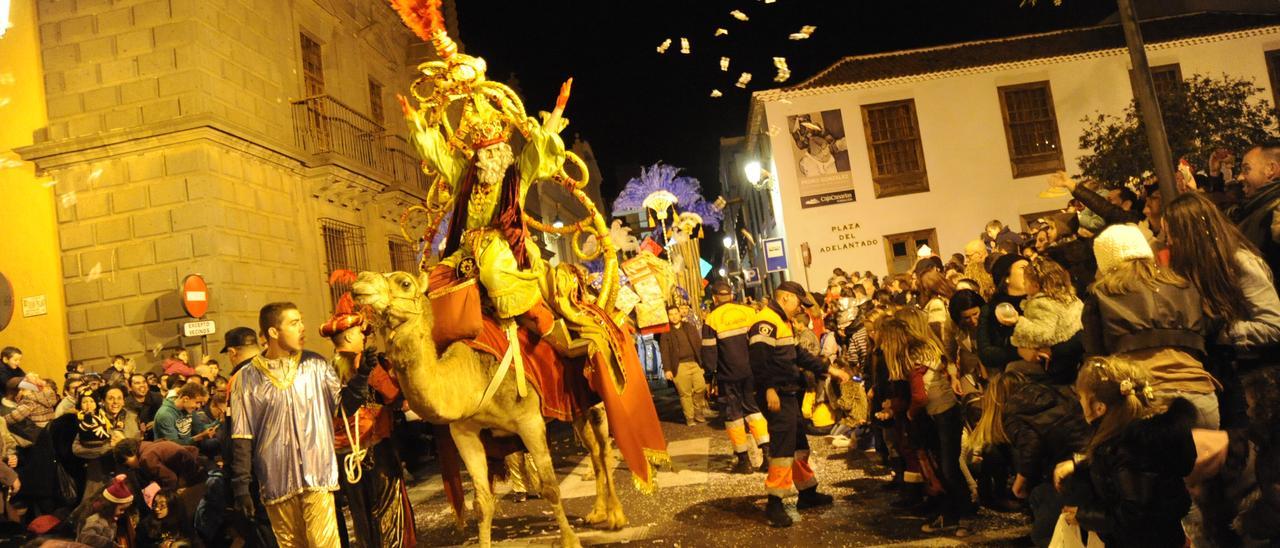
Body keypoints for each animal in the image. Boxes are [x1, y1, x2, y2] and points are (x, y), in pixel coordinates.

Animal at [353, 270, 627, 548]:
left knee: (604, 449)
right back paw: (597, 513)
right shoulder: (464, 431)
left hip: (598, 397)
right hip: (576, 407)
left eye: (405, 283)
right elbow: (482, 502)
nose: (360, 282)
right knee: (593, 449)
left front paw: (570, 540)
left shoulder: (530, 420)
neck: (472, 374)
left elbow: (550, 487)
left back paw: (616, 517)